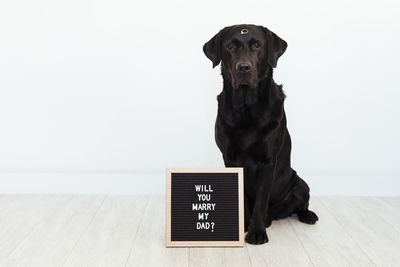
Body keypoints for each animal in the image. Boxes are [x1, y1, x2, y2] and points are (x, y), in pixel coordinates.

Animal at [203, 25, 318, 245]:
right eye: (230, 46)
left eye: (257, 45)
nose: (244, 67)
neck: (247, 108)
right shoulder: (231, 160)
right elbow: (243, 198)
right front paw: (244, 225)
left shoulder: (267, 161)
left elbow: (260, 199)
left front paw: (256, 232)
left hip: (300, 182)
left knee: (301, 203)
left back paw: (307, 215)